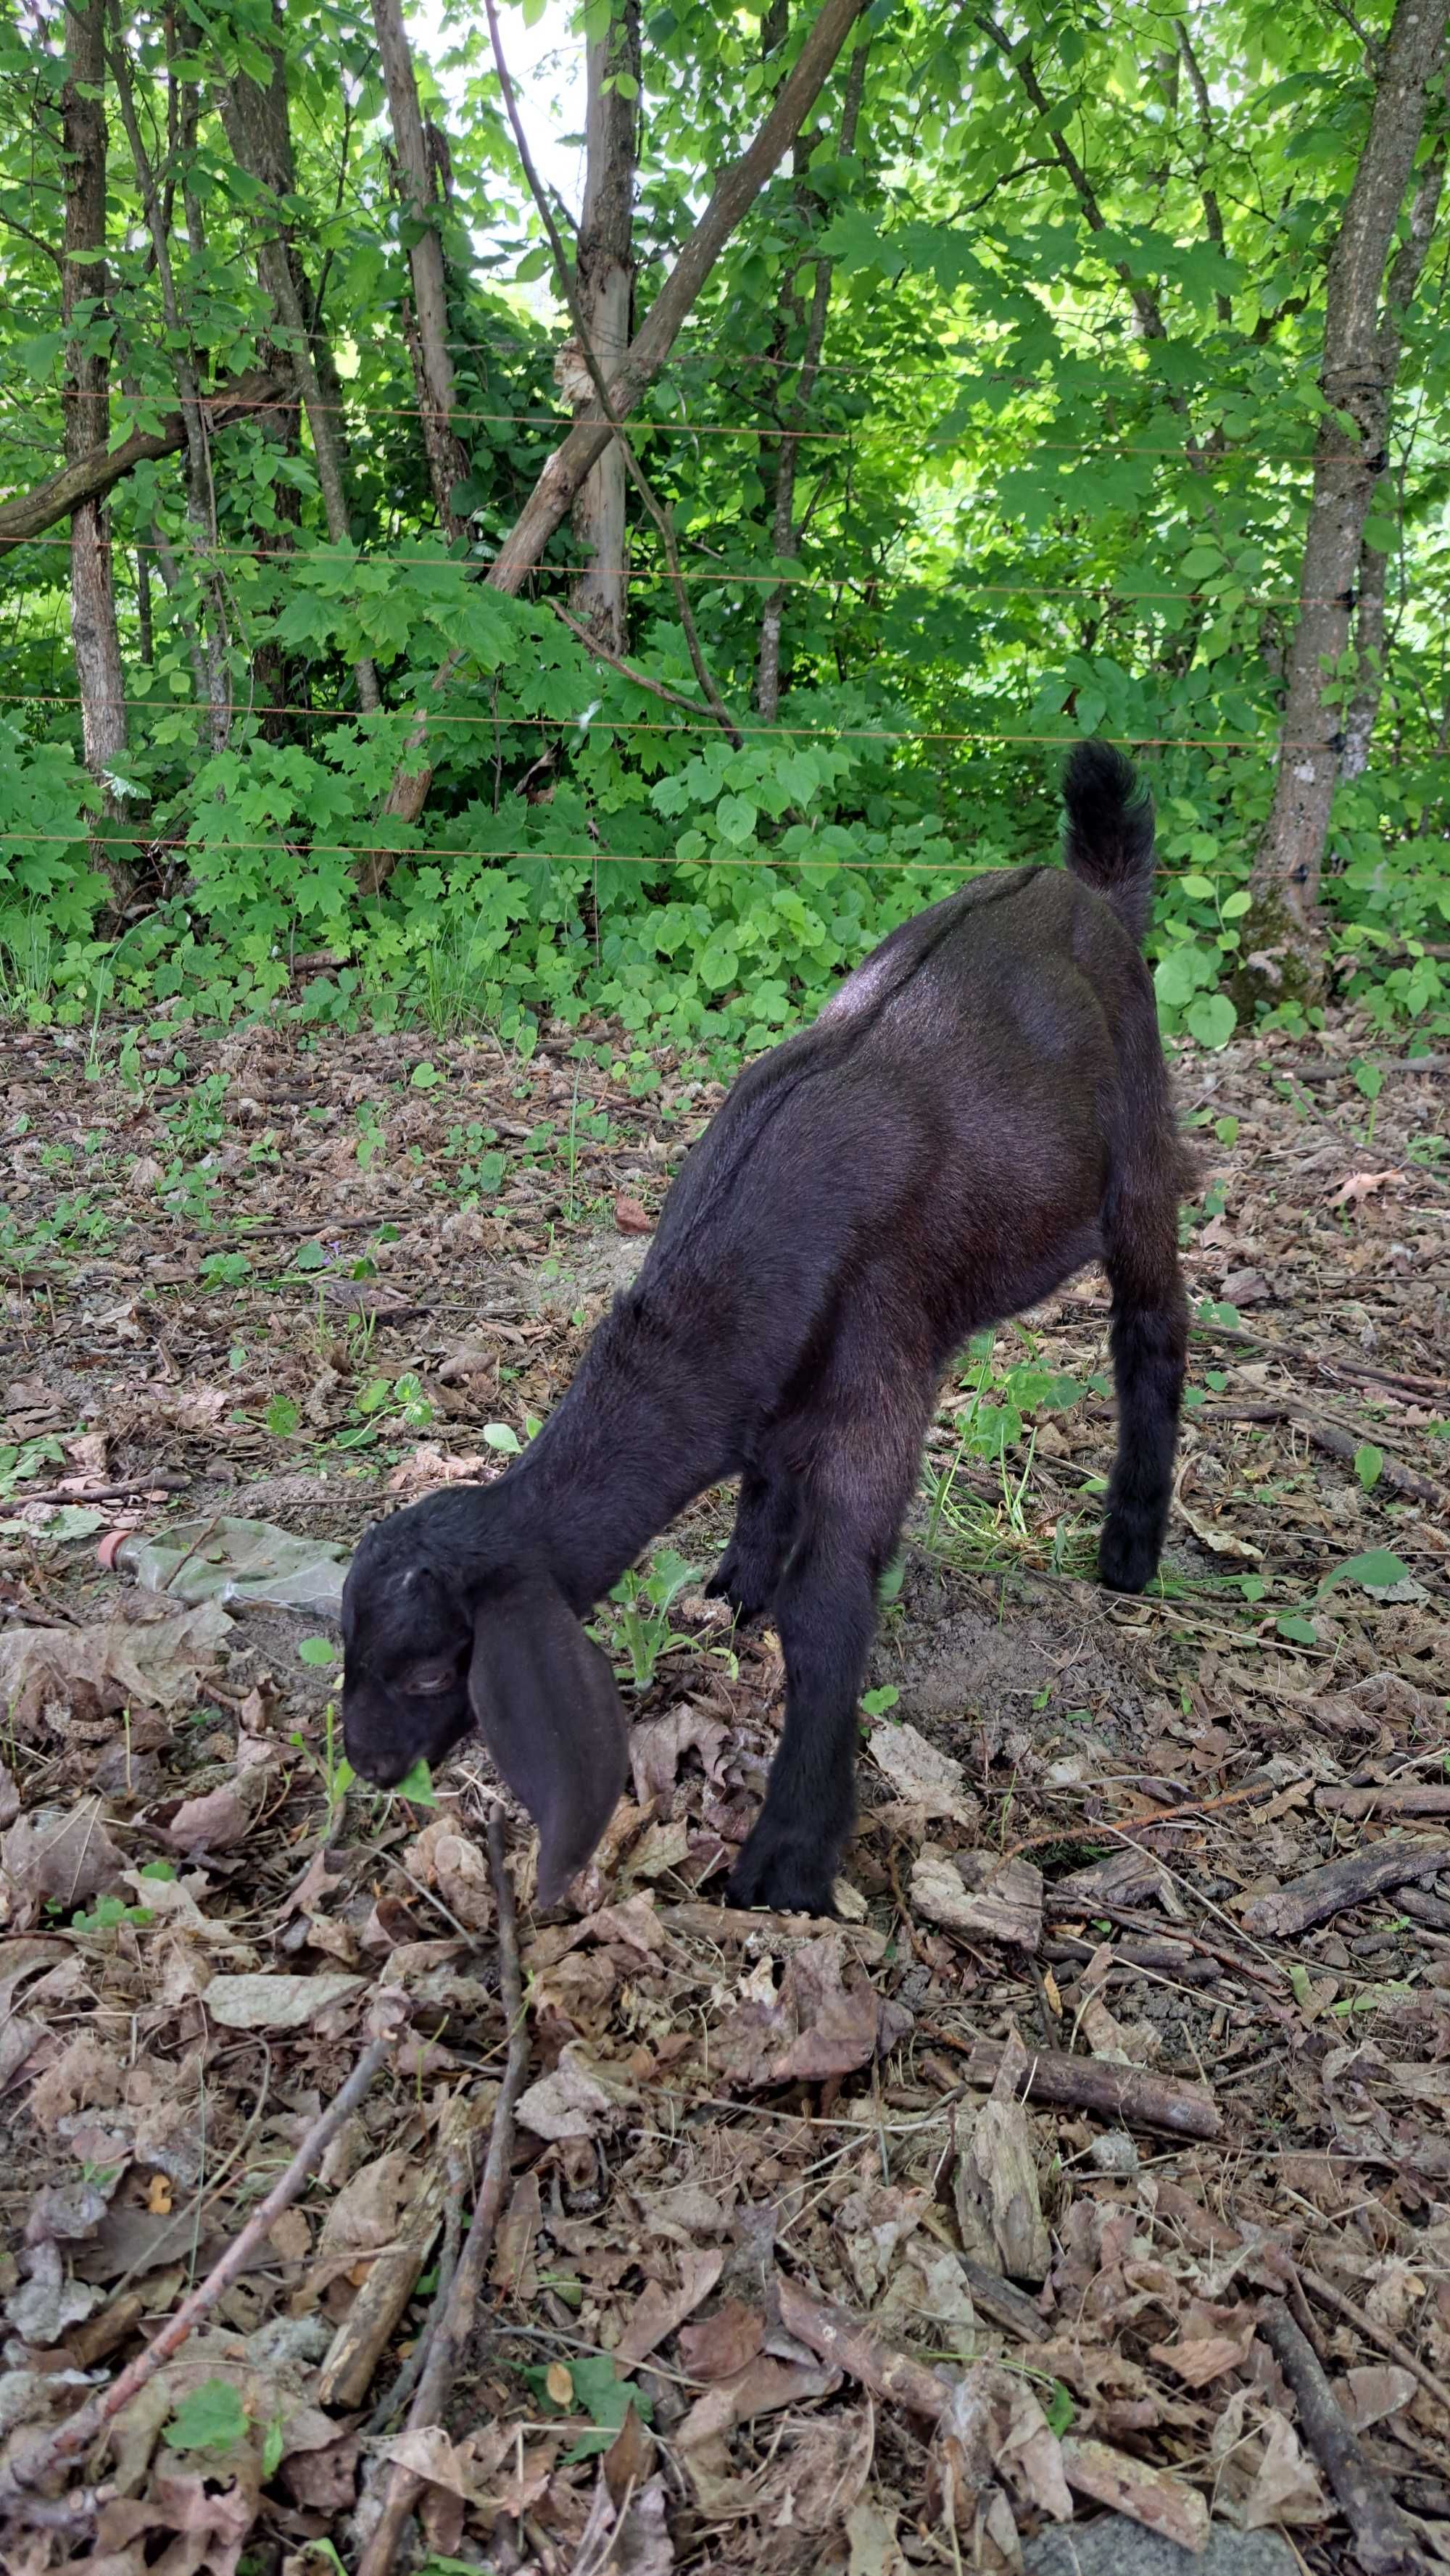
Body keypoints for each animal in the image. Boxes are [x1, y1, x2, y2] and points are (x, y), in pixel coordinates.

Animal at [342, 741, 1190, 1916]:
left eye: (430, 1667)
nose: (367, 1763)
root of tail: (1088, 889)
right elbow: (762, 1490)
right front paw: (736, 1586)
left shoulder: (875, 1388)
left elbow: (828, 1609)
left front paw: (788, 1857)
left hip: (1142, 1152)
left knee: (1152, 1329)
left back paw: (1130, 1548)